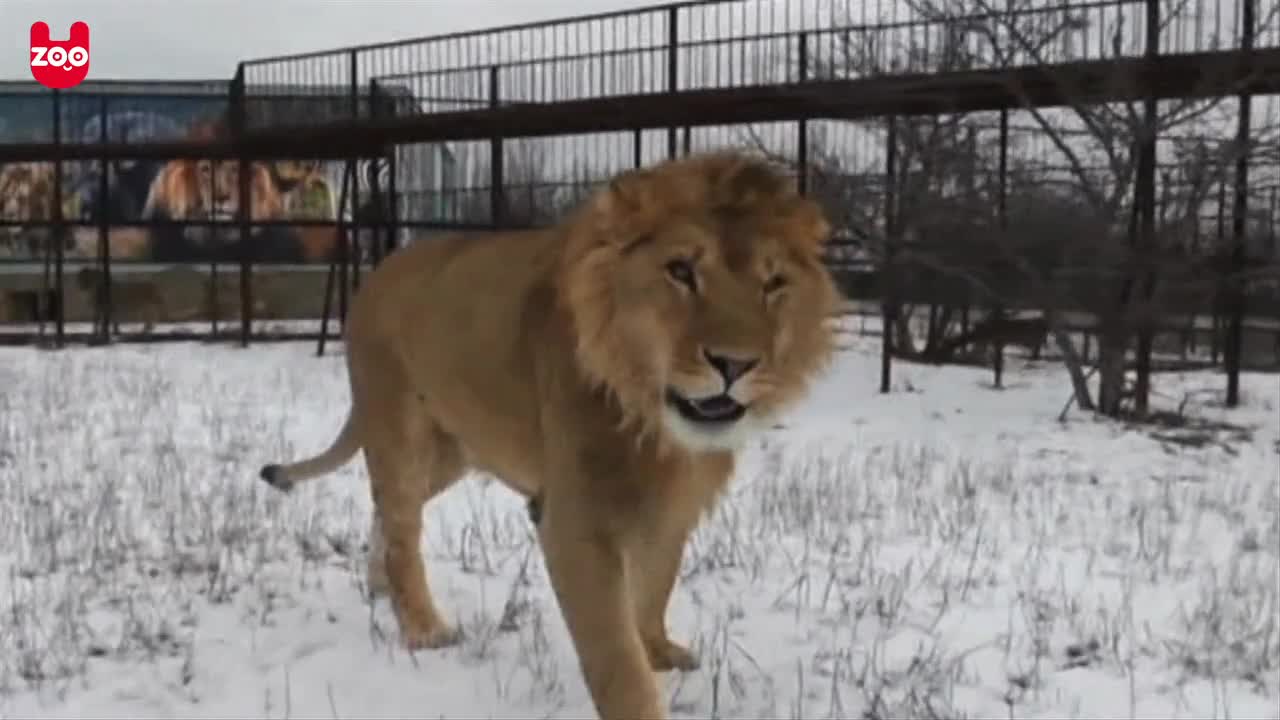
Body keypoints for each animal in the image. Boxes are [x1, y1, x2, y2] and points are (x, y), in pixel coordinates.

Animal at [258, 148, 839, 712]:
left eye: (773, 285)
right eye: (680, 271)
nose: (735, 364)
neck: (659, 427)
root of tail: (377, 272)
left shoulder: (675, 504)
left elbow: (656, 586)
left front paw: (658, 651)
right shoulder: (575, 520)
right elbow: (615, 658)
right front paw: (641, 682)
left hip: (451, 453)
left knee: (393, 511)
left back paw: (379, 583)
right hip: (399, 432)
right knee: (403, 528)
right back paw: (422, 627)